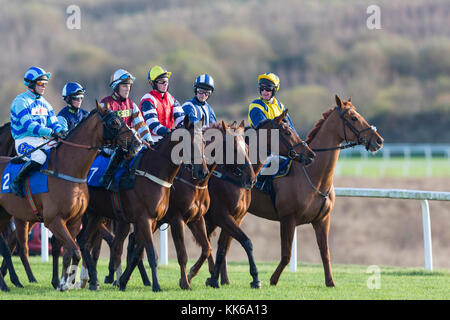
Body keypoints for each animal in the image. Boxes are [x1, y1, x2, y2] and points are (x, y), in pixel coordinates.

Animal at [0, 101, 141, 292]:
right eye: (114, 122)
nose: (137, 142)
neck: (69, 170)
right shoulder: (53, 220)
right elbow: (75, 250)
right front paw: (67, 282)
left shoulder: (74, 220)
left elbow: (70, 252)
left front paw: (63, 283)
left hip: (6, 215)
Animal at [78, 115, 210, 292]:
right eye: (187, 142)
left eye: (203, 141)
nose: (202, 172)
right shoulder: (161, 219)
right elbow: (162, 254)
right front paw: (170, 284)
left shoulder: (161, 220)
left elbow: (137, 253)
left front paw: (123, 281)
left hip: (98, 214)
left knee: (89, 242)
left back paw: (93, 280)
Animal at [187, 110, 316, 288]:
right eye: (288, 132)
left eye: (246, 149)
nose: (311, 154)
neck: (229, 176)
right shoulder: (221, 215)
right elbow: (245, 242)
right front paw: (255, 278)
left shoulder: (234, 216)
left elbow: (222, 247)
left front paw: (214, 279)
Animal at [215, 95, 384, 288]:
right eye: (354, 118)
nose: (379, 140)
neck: (313, 175)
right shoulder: (288, 219)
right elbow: (286, 255)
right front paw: (273, 279)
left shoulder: (322, 220)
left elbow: (325, 252)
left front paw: (330, 281)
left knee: (225, 242)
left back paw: (224, 279)